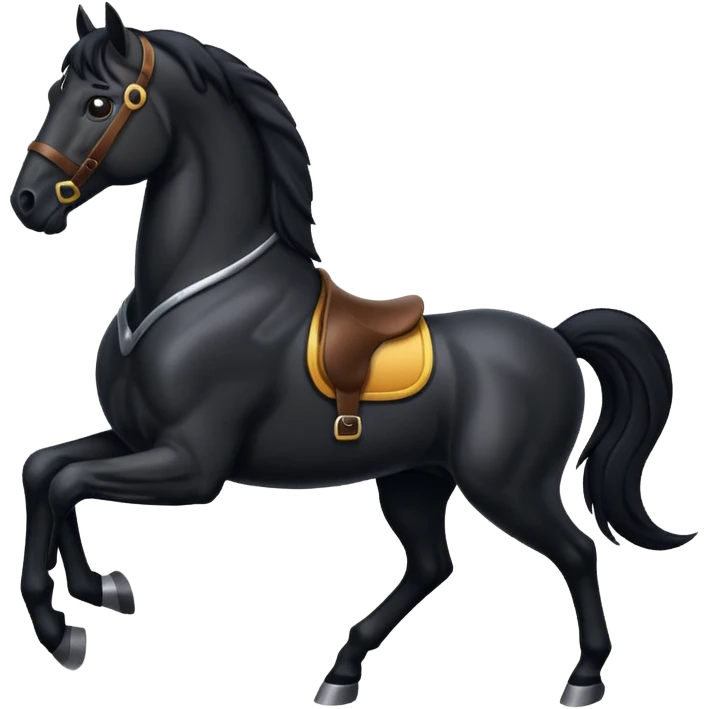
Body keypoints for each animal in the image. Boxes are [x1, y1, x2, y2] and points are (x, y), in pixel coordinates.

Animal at [10, 4, 694, 706]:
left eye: (98, 102)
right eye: (55, 90)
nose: (27, 202)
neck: (199, 292)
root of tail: (558, 339)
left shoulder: (191, 465)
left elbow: (66, 483)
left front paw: (71, 622)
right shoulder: (134, 438)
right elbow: (43, 471)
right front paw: (91, 599)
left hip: (509, 486)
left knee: (577, 552)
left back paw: (584, 679)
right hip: (416, 478)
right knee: (431, 565)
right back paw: (342, 671)